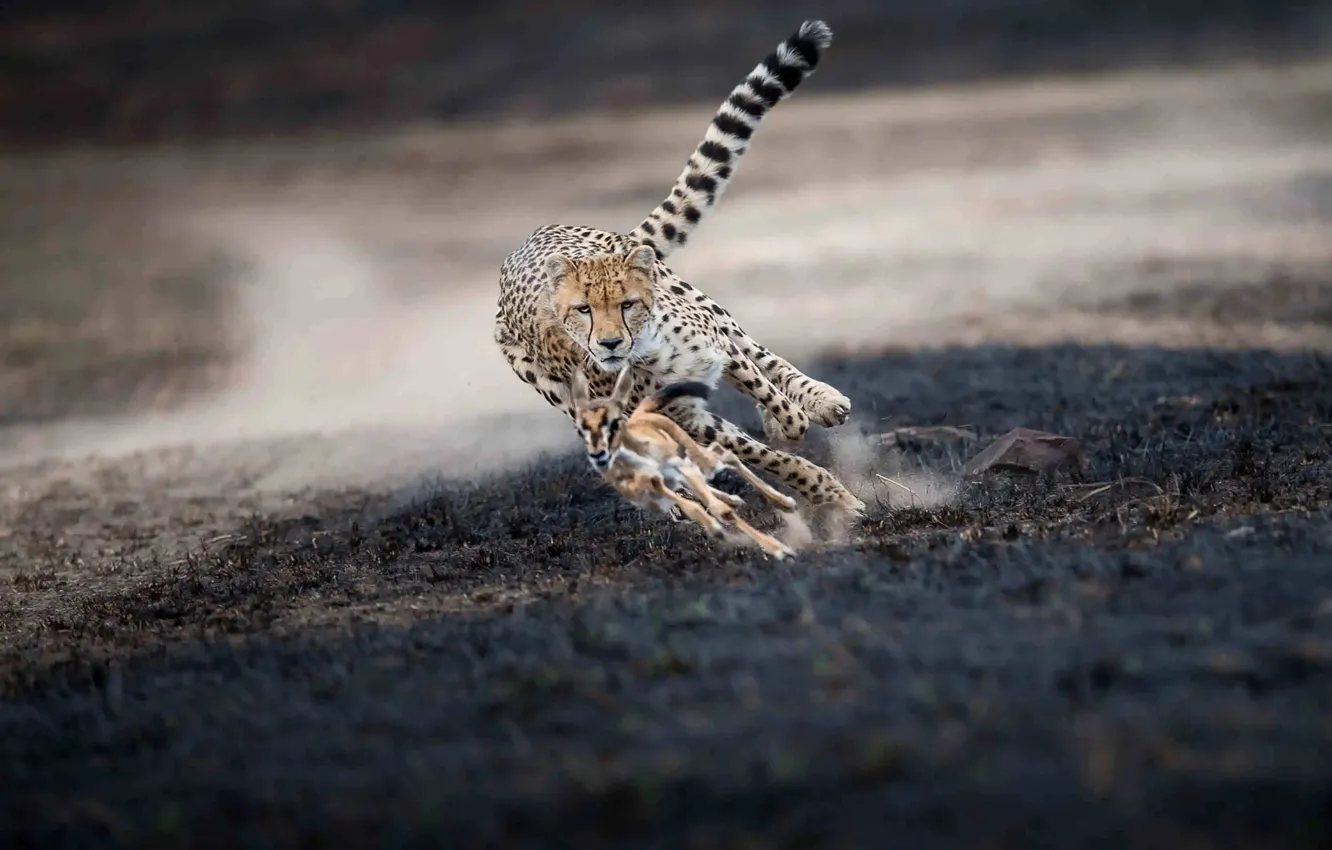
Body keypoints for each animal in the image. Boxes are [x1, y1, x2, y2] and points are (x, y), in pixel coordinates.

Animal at [493, 19, 864, 513]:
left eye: (627, 304)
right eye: (582, 311)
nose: (609, 343)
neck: (650, 353)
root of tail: (527, 243)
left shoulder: (719, 348)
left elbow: (767, 390)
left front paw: (791, 422)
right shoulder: (687, 416)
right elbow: (763, 455)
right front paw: (825, 491)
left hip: (702, 303)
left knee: (764, 355)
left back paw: (819, 401)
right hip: (570, 398)